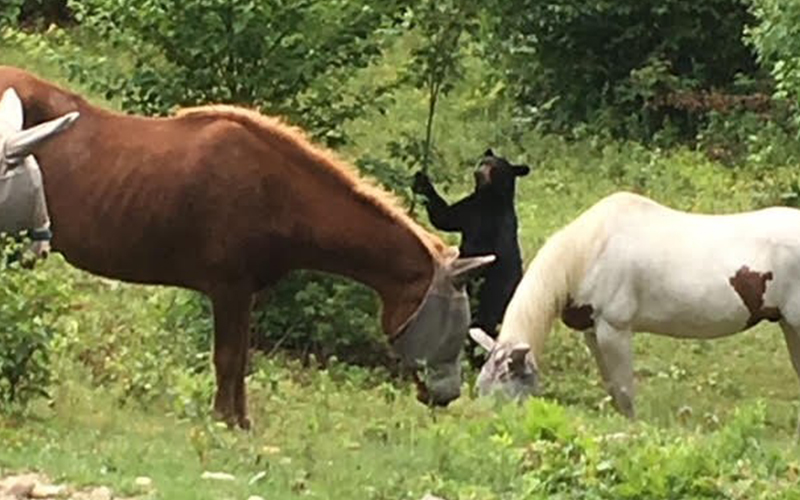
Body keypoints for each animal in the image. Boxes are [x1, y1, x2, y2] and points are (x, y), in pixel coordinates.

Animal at [0, 64, 494, 428]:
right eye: (455, 323)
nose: (447, 396)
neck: (276, 192)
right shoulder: (229, 289)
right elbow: (228, 358)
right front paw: (224, 422)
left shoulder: (246, 294)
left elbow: (240, 363)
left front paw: (241, 422)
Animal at [412, 148, 532, 352]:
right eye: (483, 161)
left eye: (493, 166)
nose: (478, 171)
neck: (488, 200)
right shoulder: (470, 208)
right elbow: (444, 217)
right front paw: (421, 181)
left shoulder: (500, 225)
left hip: (497, 298)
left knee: (488, 322)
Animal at [468, 191, 800, 418]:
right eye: (481, 385)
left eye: (504, 385)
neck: (589, 251)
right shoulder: (593, 333)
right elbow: (612, 386)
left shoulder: (614, 329)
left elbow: (625, 390)